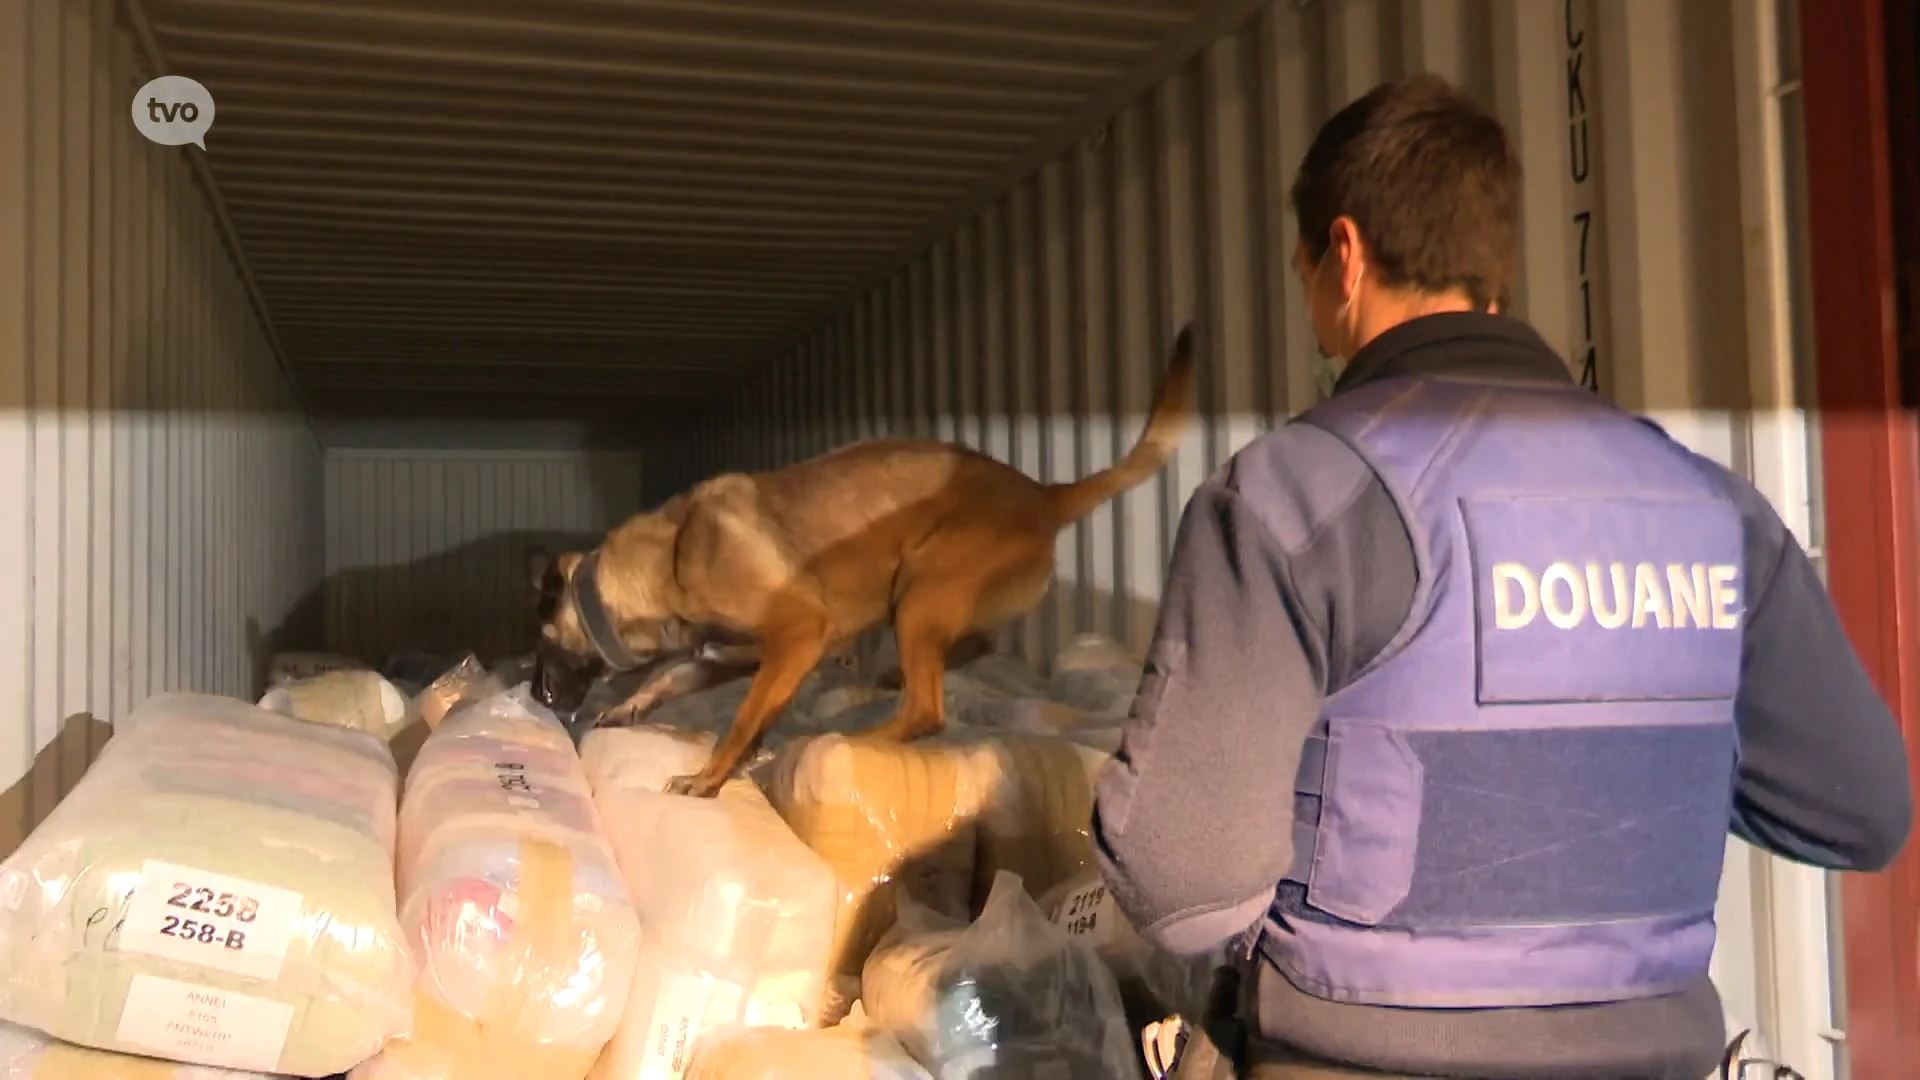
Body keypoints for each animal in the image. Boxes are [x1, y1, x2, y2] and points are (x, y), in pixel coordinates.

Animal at [522, 319, 1182, 791]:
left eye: (538, 639)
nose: (532, 695)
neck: (669, 559)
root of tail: (1044, 495)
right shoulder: (727, 657)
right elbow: (674, 680)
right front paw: (631, 709)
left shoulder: (796, 632)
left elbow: (742, 719)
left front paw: (710, 777)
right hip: (933, 600)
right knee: (968, 651)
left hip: (920, 588)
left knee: (926, 710)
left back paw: (863, 737)